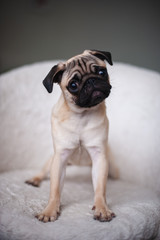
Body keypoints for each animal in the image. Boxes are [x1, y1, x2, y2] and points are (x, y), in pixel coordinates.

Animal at [26, 49, 116, 222]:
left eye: (102, 72)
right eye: (73, 85)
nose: (91, 81)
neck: (82, 115)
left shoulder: (99, 158)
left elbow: (100, 188)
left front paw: (101, 208)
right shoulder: (60, 158)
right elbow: (54, 189)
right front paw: (50, 210)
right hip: (51, 160)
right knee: (43, 172)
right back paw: (35, 179)